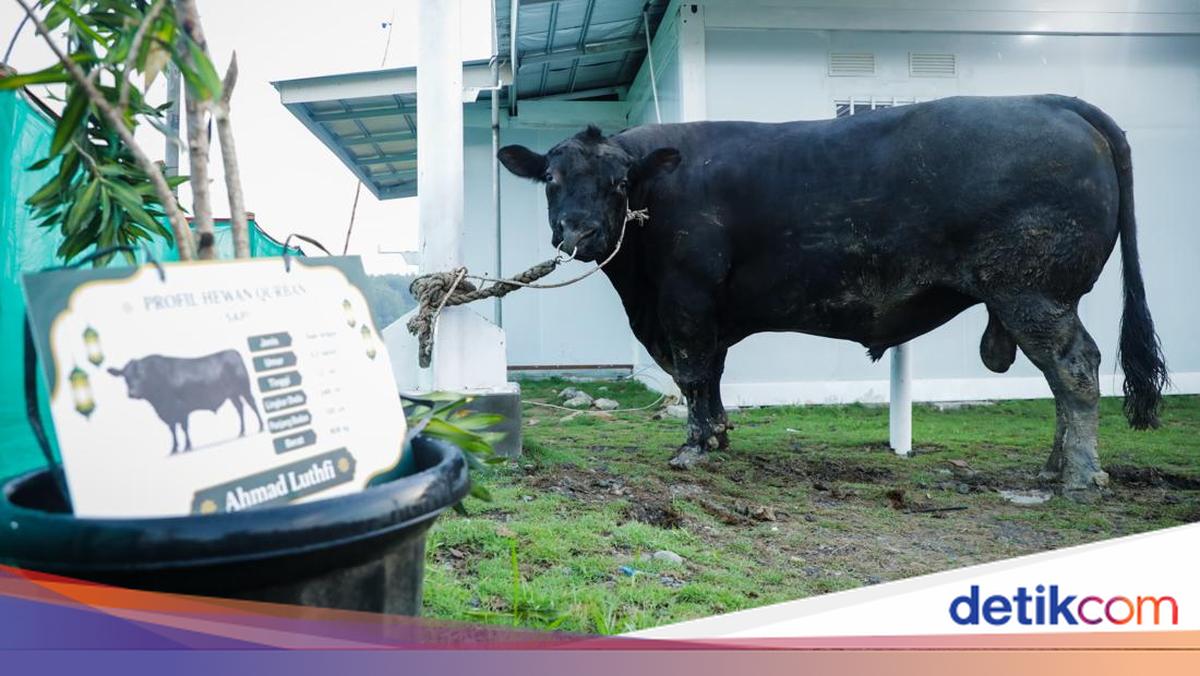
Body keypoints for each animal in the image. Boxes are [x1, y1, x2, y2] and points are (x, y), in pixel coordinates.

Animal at [107, 349, 264, 454]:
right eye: (125, 377)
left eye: (141, 374)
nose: (132, 393)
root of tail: (232, 352)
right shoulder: (167, 413)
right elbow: (172, 430)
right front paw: (174, 449)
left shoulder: (181, 408)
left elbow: (184, 428)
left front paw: (187, 446)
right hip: (232, 395)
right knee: (240, 408)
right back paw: (241, 431)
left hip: (244, 389)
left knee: (253, 405)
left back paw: (261, 427)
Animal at [497, 94, 1168, 494]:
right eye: (551, 178)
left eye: (617, 183)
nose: (578, 232)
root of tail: (1046, 101)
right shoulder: (708, 313)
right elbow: (711, 376)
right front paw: (718, 435)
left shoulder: (684, 301)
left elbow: (691, 374)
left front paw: (693, 447)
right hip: (1035, 298)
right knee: (1060, 377)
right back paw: (1054, 465)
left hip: (1033, 293)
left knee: (1075, 368)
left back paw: (1079, 474)